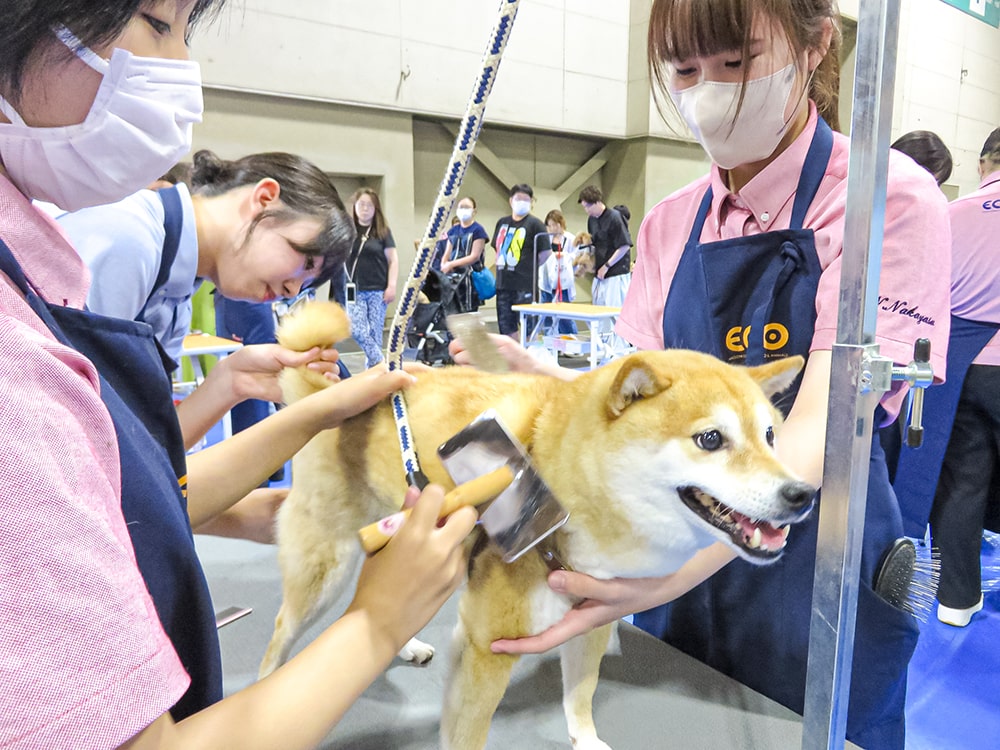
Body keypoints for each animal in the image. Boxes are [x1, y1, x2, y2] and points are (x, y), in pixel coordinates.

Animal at [262, 302, 816, 748]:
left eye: (770, 435)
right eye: (710, 439)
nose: (803, 494)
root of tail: (330, 393)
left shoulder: (593, 618)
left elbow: (581, 697)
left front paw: (585, 740)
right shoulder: (487, 647)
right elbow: (468, 735)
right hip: (324, 570)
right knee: (281, 636)